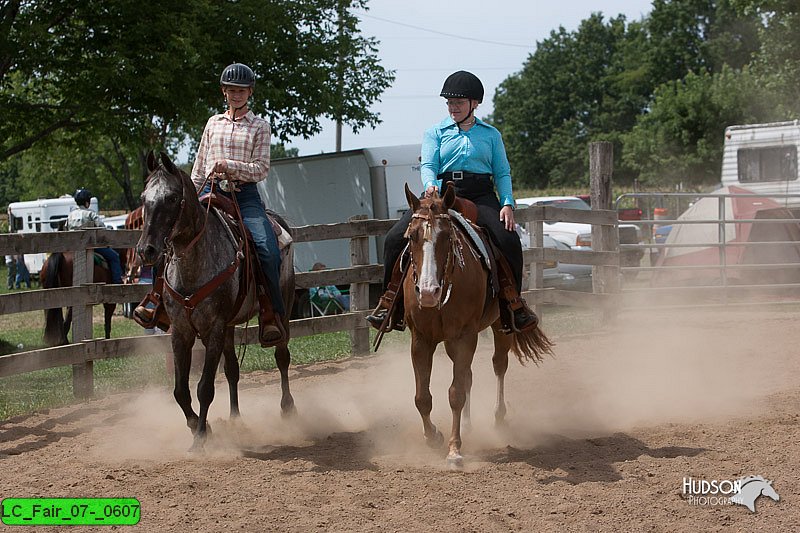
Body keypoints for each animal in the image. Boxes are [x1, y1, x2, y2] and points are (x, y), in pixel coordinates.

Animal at [404, 185, 552, 468]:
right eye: (412, 236)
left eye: (447, 237)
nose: (427, 292)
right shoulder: (421, 339)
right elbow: (421, 398)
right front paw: (434, 437)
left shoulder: (465, 337)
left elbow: (456, 394)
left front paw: (454, 450)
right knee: (468, 375)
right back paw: (468, 425)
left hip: (499, 326)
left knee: (498, 365)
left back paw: (498, 417)